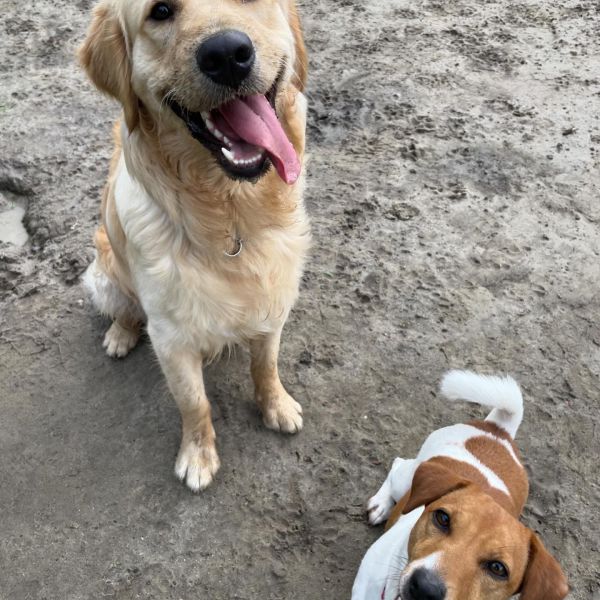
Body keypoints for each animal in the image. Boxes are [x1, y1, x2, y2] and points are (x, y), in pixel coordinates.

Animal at [79, 0, 310, 492]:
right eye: (161, 11)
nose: (227, 55)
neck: (231, 216)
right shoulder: (171, 338)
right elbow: (194, 403)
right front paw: (198, 457)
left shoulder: (274, 300)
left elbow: (266, 365)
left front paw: (276, 405)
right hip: (103, 275)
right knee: (125, 309)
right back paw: (120, 334)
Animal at [354, 370, 568, 600]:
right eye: (442, 518)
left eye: (498, 568)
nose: (425, 587)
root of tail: (499, 430)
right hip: (406, 479)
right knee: (397, 463)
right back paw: (381, 504)